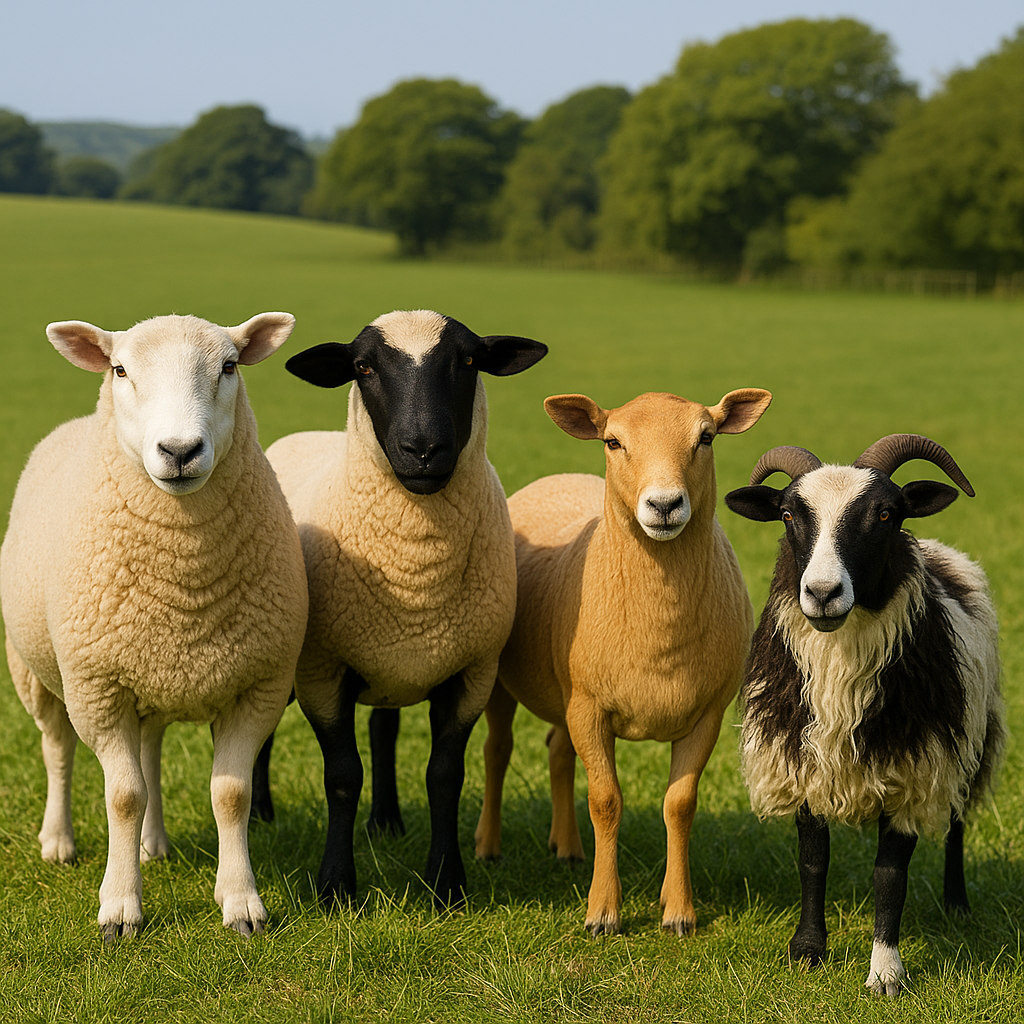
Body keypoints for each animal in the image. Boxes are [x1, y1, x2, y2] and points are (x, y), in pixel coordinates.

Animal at [0, 312, 309, 941]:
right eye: (120, 370)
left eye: (229, 366)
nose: (180, 450)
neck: (182, 580)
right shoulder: (97, 687)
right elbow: (121, 796)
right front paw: (119, 910)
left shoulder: (258, 687)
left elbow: (231, 794)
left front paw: (241, 903)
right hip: (39, 673)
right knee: (57, 749)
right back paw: (59, 842)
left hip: (152, 677)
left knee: (150, 753)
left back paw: (152, 844)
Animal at [263, 309, 547, 907]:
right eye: (363, 367)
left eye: (468, 360)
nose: (423, 448)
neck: (417, 569)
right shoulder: (322, 671)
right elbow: (342, 777)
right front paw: (335, 889)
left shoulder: (472, 672)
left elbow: (444, 776)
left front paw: (447, 885)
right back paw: (260, 813)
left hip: (389, 661)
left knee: (383, 728)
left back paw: (387, 822)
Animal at [473, 387, 773, 936]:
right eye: (613, 441)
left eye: (706, 437)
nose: (664, 504)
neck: (659, 631)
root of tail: (560, 477)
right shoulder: (590, 708)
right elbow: (606, 801)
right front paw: (602, 913)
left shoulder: (707, 713)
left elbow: (680, 805)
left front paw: (678, 912)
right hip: (509, 682)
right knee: (497, 750)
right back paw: (489, 846)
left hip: (568, 694)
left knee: (557, 751)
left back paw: (568, 848)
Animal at [724, 434, 1004, 996]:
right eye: (788, 513)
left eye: (886, 513)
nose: (822, 593)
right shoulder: (802, 761)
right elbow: (813, 861)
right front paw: (808, 951)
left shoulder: (915, 767)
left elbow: (889, 875)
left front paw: (886, 972)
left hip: (972, 738)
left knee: (958, 823)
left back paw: (957, 905)